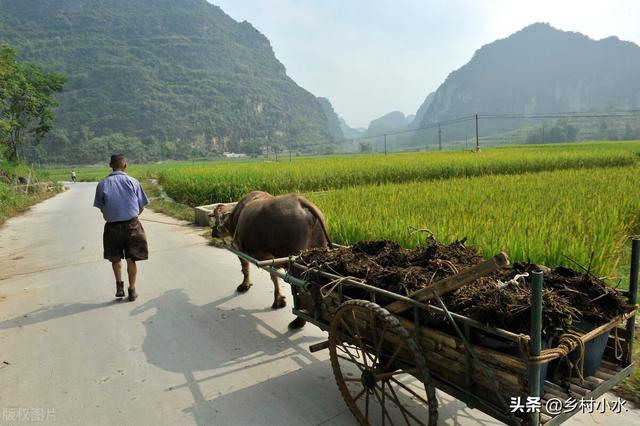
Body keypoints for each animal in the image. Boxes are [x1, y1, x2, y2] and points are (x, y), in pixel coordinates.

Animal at [212, 191, 330, 328]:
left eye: (216, 218)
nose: (213, 232)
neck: (235, 217)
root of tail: (300, 202)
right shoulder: (271, 259)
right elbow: (274, 278)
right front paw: (279, 300)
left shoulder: (240, 250)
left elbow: (245, 269)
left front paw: (245, 285)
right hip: (318, 249)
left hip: (296, 264)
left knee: (301, 289)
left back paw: (299, 320)